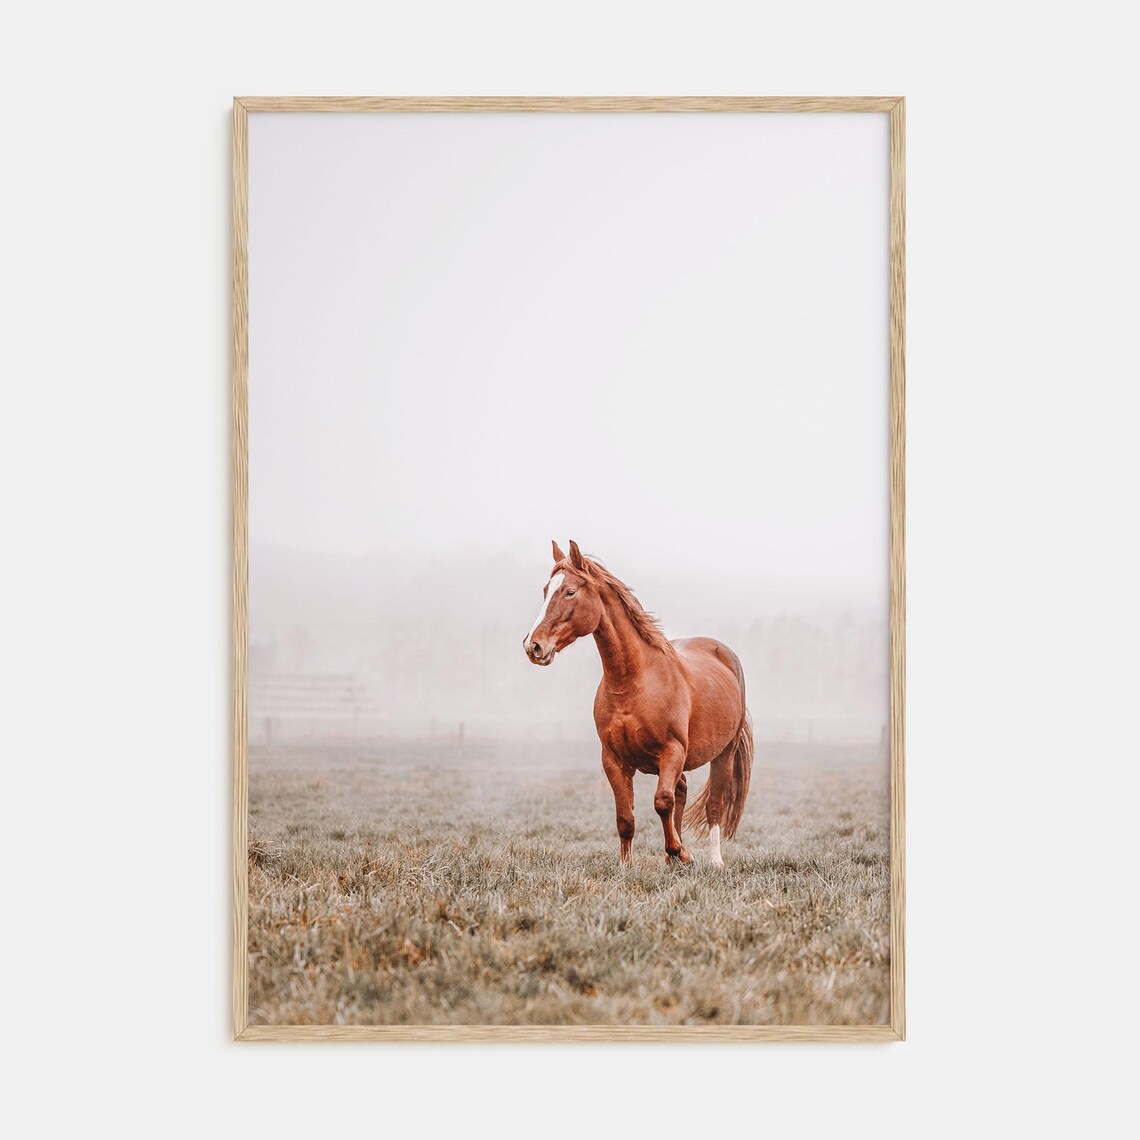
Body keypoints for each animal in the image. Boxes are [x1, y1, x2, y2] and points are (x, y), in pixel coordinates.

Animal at [523, 540, 754, 866]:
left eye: (569, 591)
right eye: (546, 590)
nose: (533, 645)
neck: (633, 684)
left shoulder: (672, 750)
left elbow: (662, 801)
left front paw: (683, 853)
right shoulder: (613, 760)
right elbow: (626, 818)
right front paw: (627, 865)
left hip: (724, 752)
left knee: (713, 804)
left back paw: (713, 861)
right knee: (681, 791)